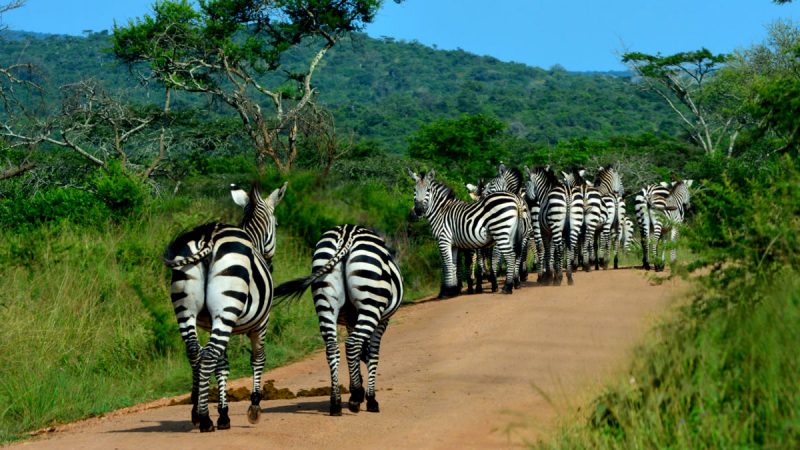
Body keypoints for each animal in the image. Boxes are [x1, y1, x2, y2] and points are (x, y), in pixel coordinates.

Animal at [162, 182, 288, 432]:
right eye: (277, 224)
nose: (271, 264)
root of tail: (207, 237)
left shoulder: (212, 323)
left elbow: (223, 365)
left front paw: (223, 413)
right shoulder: (262, 322)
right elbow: (258, 358)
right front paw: (254, 407)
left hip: (186, 309)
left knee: (195, 352)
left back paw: (197, 412)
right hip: (226, 308)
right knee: (209, 354)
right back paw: (204, 418)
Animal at [276, 223, 404, 416]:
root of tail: (347, 234)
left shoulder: (351, 320)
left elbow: (362, 353)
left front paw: (356, 388)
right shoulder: (382, 321)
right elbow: (372, 354)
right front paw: (369, 398)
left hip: (325, 300)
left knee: (333, 347)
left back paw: (336, 402)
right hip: (371, 302)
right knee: (352, 343)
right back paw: (355, 398)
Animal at [410, 168, 528, 296]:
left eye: (428, 190)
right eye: (414, 190)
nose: (418, 210)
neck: (441, 211)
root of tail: (515, 199)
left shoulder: (443, 240)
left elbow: (446, 264)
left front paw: (447, 291)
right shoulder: (453, 244)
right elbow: (453, 264)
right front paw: (453, 289)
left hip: (500, 232)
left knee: (510, 256)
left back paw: (507, 287)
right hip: (512, 234)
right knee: (515, 255)